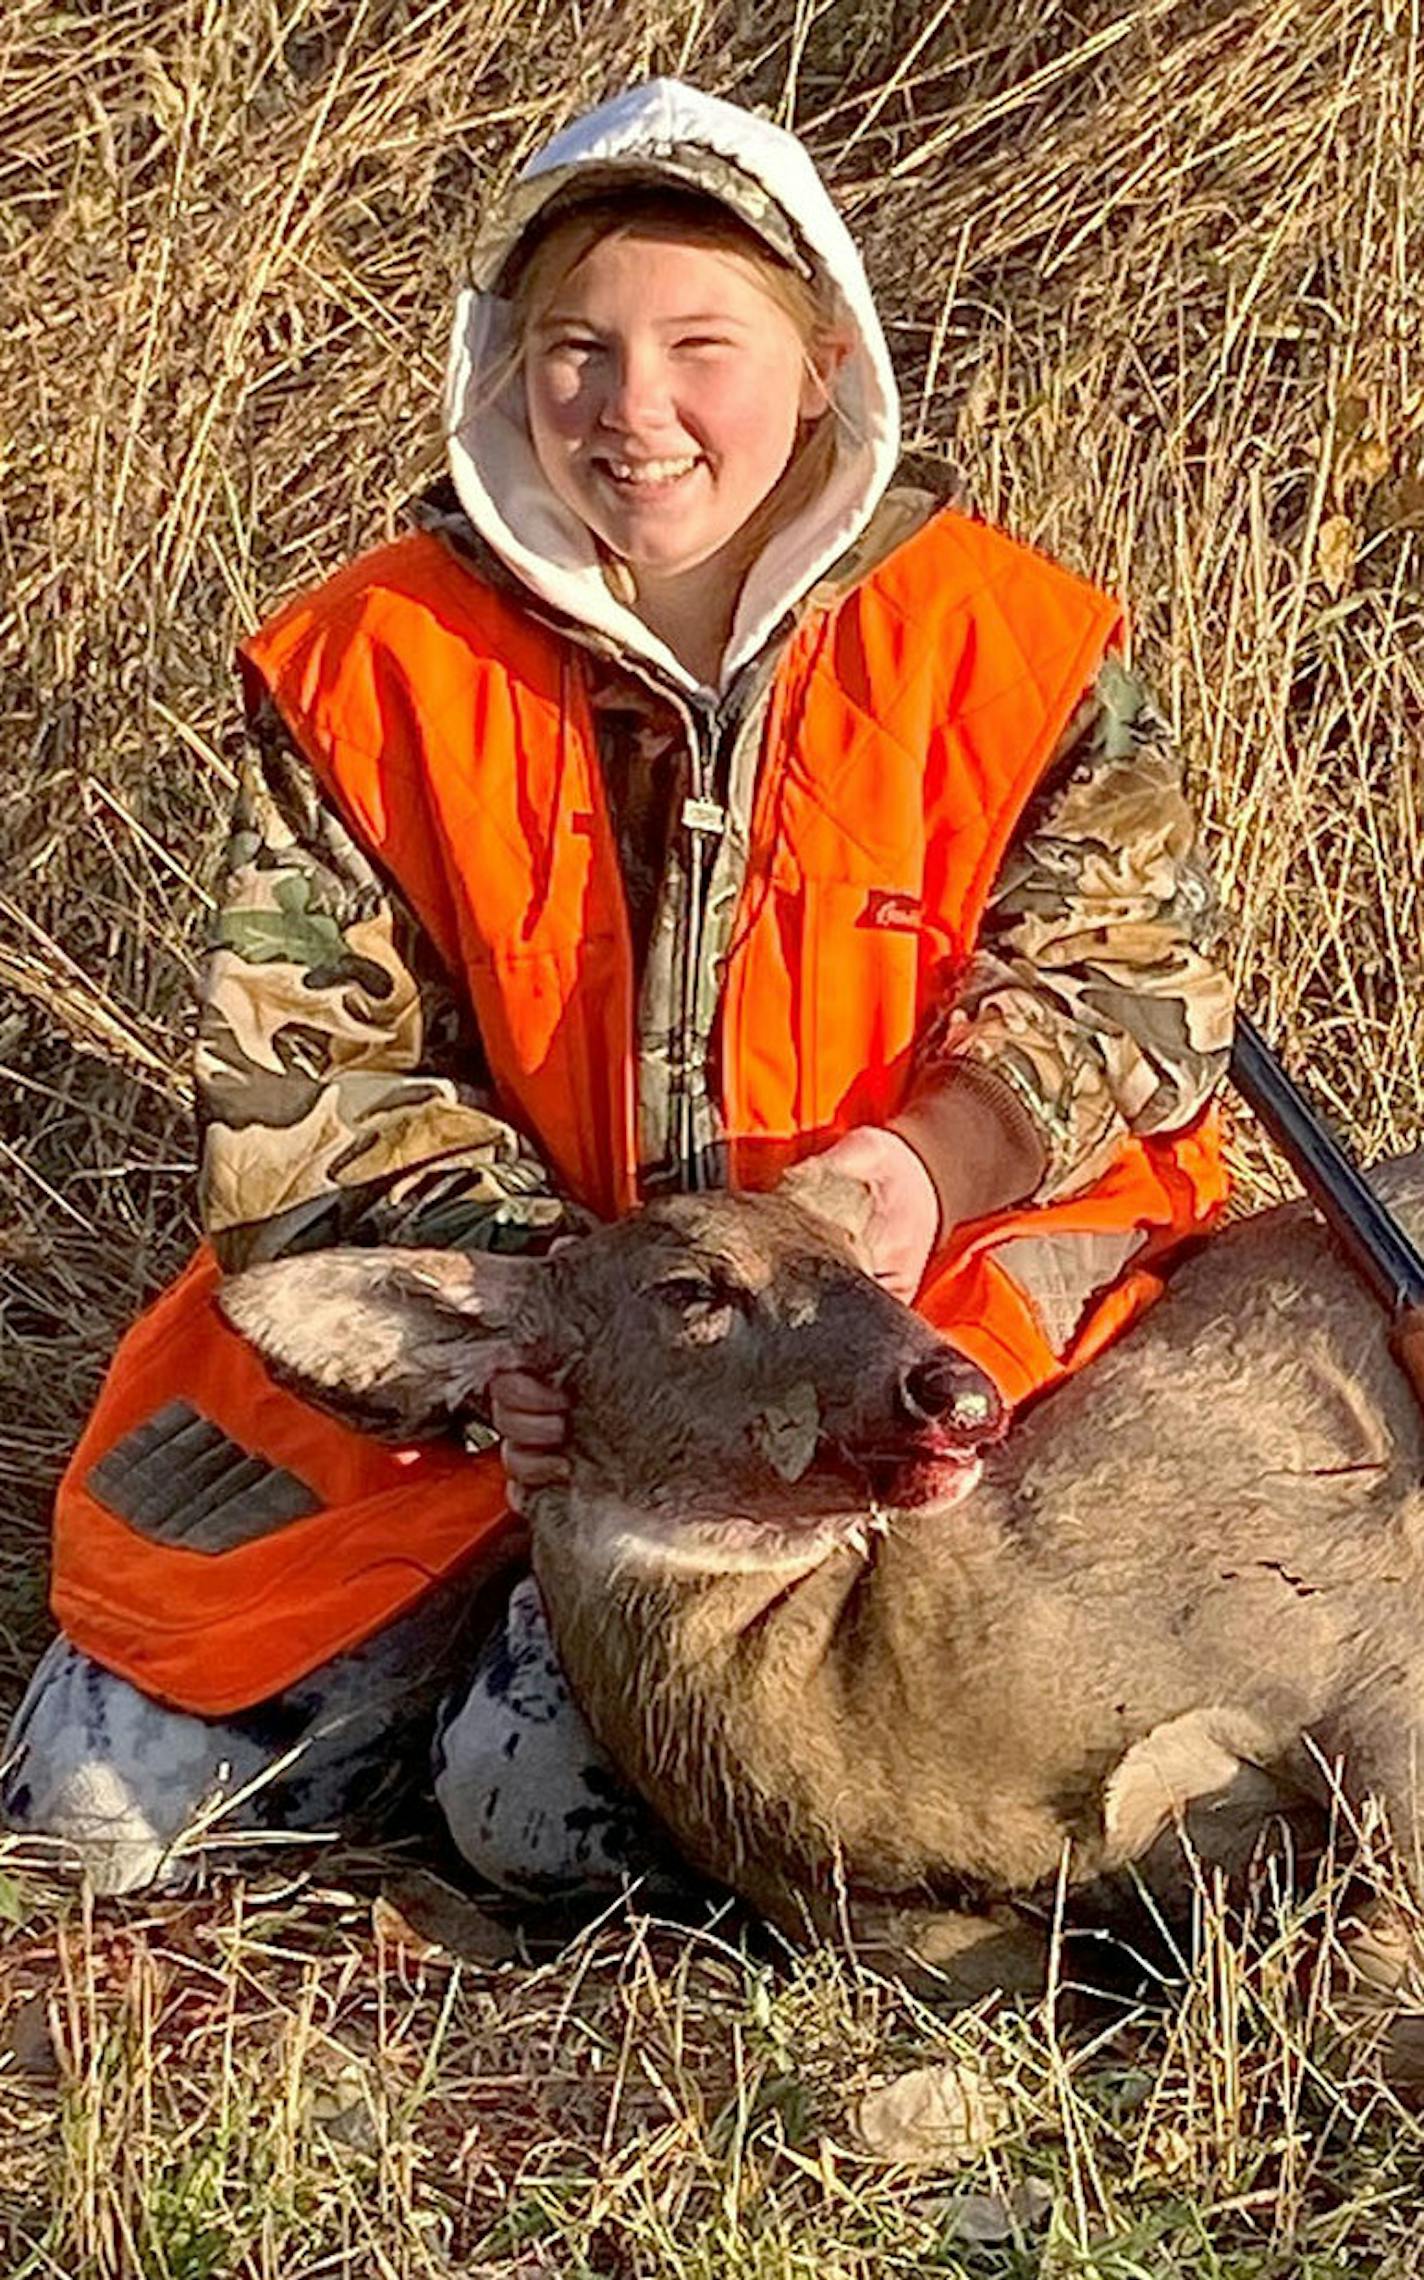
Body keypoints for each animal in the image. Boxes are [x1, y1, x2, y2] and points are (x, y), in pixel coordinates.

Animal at [219, 1149, 1421, 2061]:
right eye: (694, 1289)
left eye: (867, 1267)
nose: (957, 1391)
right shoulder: (887, 1930)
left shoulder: (1350, 1631)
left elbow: (1359, 1972)